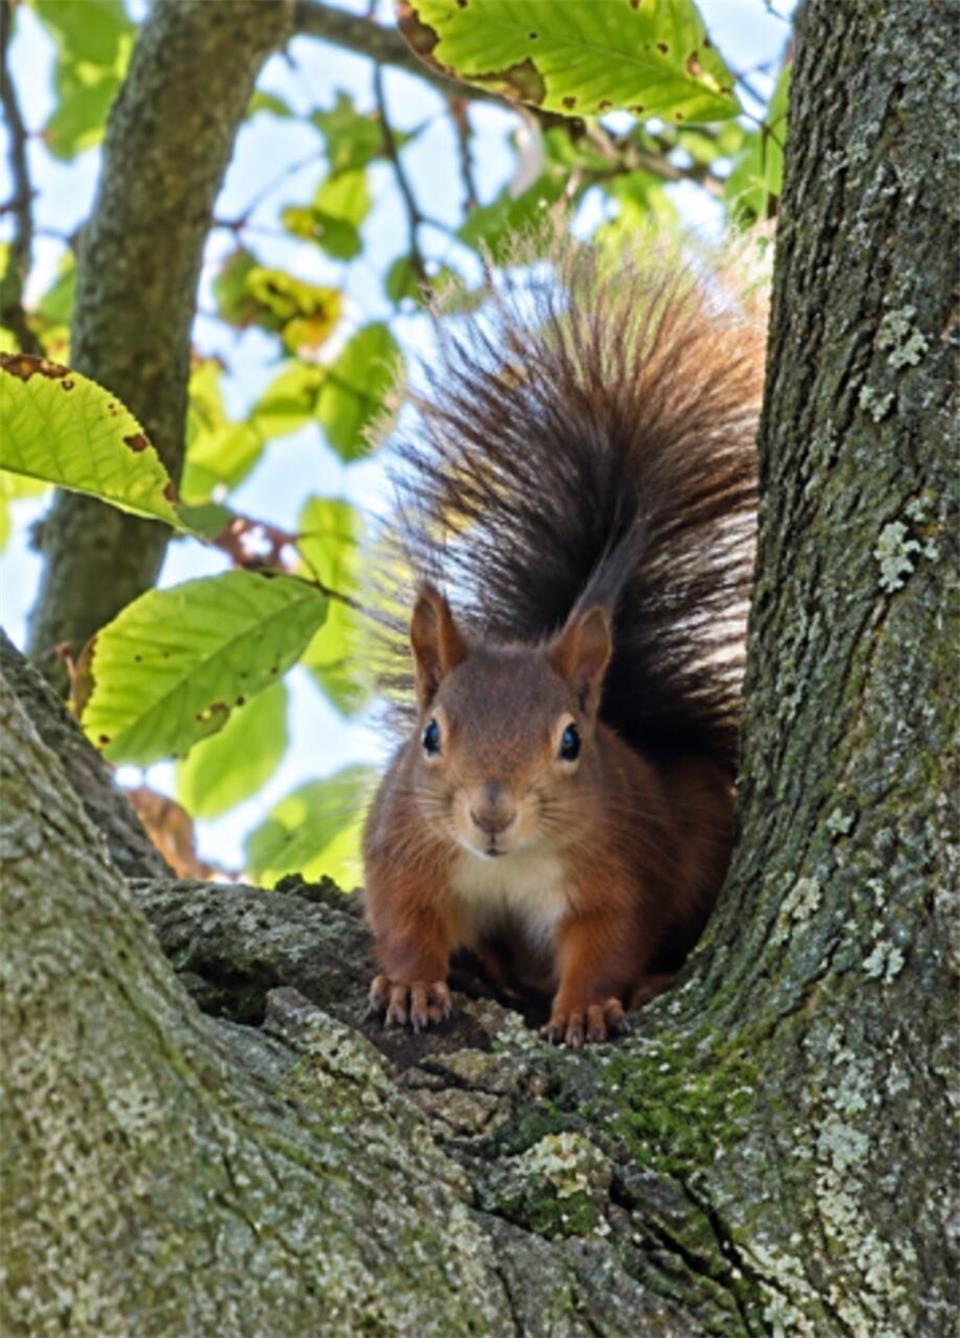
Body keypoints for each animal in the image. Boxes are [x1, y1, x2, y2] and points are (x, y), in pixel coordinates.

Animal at [362, 244, 764, 1047]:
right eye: (430, 736)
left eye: (573, 741)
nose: (492, 813)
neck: (507, 864)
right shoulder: (402, 847)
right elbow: (403, 920)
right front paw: (411, 984)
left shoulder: (619, 870)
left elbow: (608, 941)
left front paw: (584, 1007)